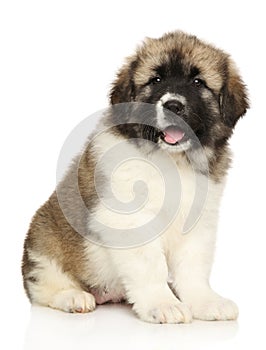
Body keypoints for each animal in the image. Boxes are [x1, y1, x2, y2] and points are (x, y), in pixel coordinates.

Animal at [21, 31, 248, 324]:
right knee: (42, 286)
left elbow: (193, 268)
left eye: (198, 82)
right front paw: (163, 303)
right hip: (44, 240)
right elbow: (151, 266)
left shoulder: (198, 220)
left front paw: (204, 301)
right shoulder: (130, 219)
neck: (173, 161)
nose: (173, 105)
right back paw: (72, 297)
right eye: (156, 80)